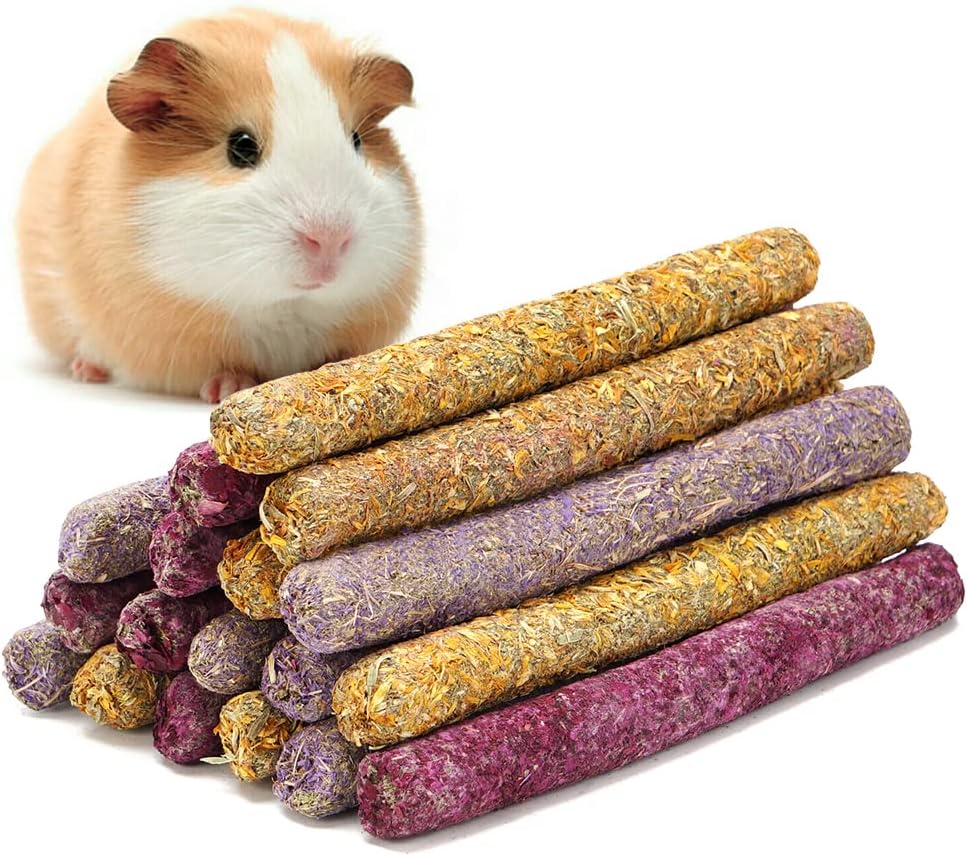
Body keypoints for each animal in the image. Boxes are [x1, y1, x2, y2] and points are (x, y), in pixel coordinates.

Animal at [17, 10, 421, 402]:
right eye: (240, 146)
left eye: (356, 141)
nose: (330, 239)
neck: (285, 306)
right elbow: (223, 367)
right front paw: (228, 389)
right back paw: (87, 371)